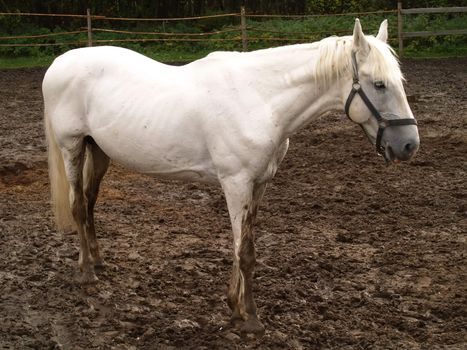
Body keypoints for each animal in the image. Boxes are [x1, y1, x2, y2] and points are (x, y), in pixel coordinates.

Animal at [42, 18, 418, 334]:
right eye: (379, 84)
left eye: (398, 82)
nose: (409, 144)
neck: (261, 99)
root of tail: (58, 65)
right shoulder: (236, 183)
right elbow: (245, 251)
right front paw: (250, 318)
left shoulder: (259, 184)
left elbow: (243, 245)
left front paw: (234, 305)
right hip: (72, 147)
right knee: (78, 206)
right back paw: (87, 274)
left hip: (98, 150)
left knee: (90, 202)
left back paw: (97, 260)